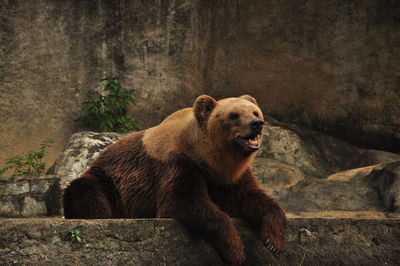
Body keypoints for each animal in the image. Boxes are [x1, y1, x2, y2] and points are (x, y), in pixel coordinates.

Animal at [62, 94, 286, 264]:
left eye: (255, 112)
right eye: (234, 115)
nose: (257, 123)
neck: (207, 157)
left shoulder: (228, 176)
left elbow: (251, 198)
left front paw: (273, 239)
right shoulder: (176, 165)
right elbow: (183, 201)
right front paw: (235, 249)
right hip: (107, 181)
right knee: (86, 192)